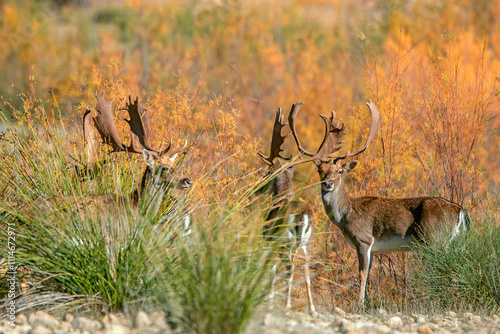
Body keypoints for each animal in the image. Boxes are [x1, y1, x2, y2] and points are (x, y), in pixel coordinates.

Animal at [258, 106, 316, 316]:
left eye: (267, 173)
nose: (257, 188)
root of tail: (301, 216)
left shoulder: (269, 241)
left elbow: (271, 270)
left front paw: (269, 301)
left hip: (285, 241)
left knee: (290, 270)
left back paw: (288, 305)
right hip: (308, 243)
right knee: (307, 272)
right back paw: (311, 308)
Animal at [288, 100, 470, 306]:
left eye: (340, 171)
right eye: (321, 171)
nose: (328, 183)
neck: (345, 215)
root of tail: (460, 210)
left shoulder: (364, 239)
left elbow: (361, 274)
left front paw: (359, 304)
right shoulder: (373, 249)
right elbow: (367, 276)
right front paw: (366, 301)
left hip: (435, 238)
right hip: (457, 240)